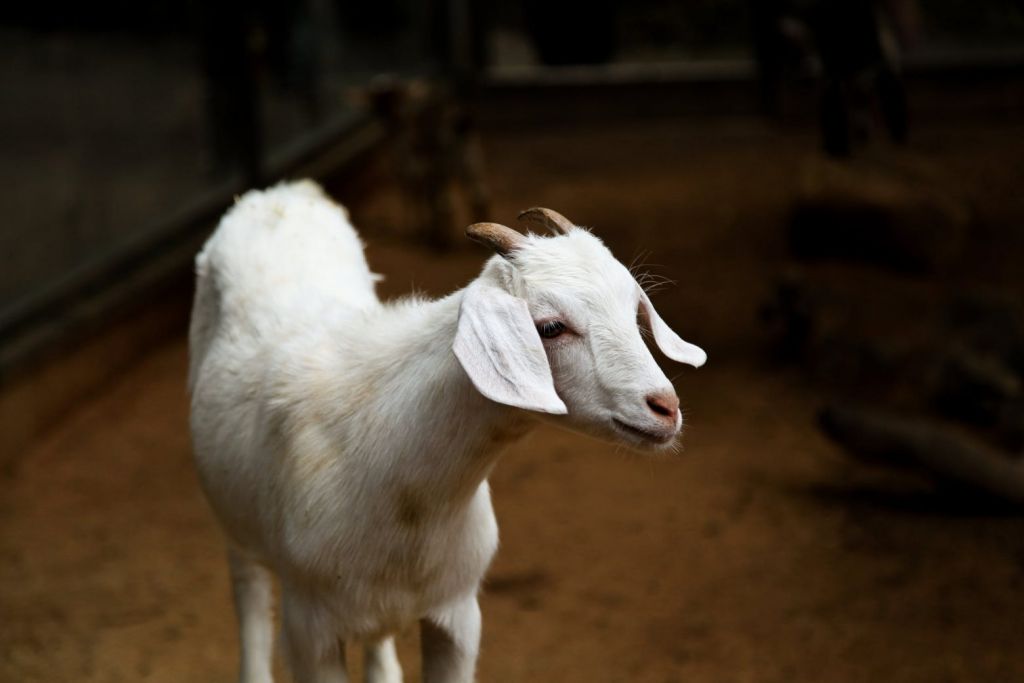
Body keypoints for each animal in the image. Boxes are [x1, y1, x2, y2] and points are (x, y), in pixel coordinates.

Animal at [188, 180, 706, 683]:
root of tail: (278, 193)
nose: (665, 408)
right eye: (550, 327)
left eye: (634, 309)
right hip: (235, 526)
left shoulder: (457, 615)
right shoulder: (310, 631)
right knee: (249, 598)